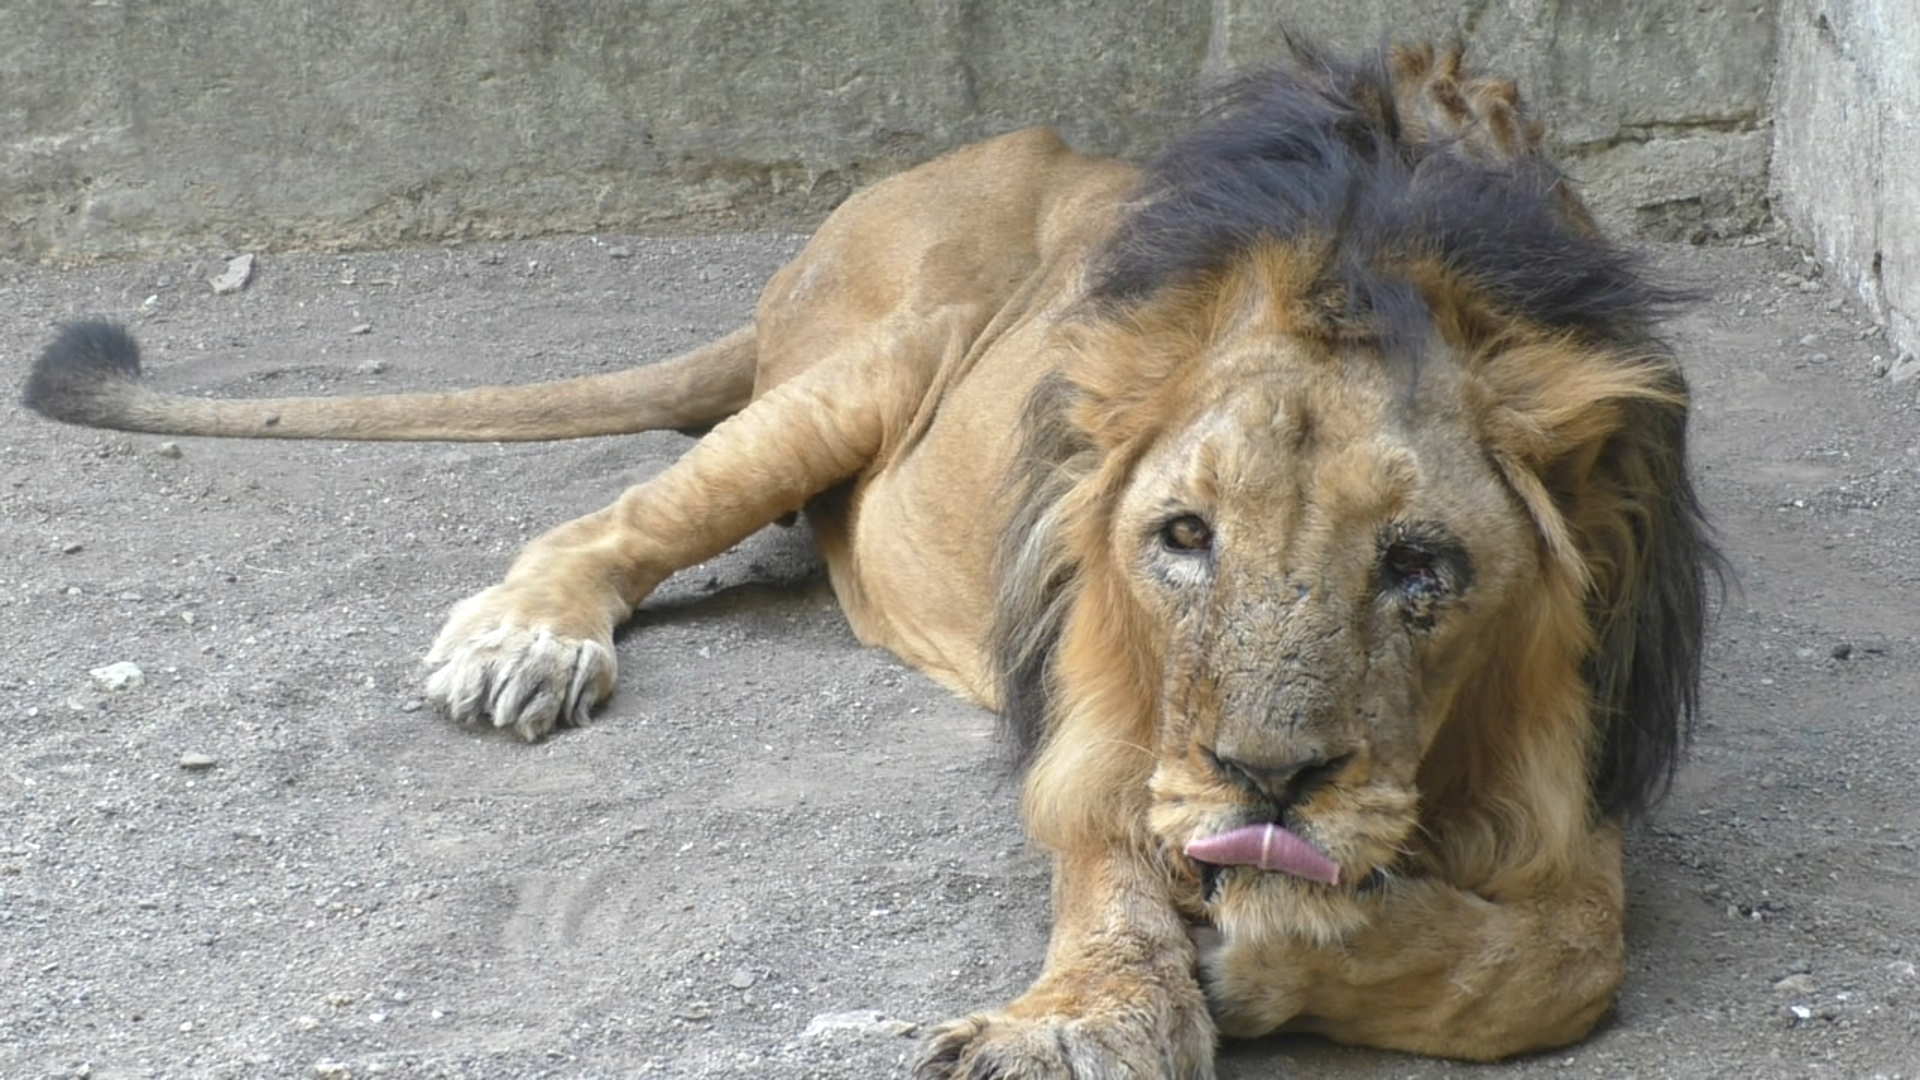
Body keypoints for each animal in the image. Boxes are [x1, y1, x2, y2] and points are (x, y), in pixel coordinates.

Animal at [26, 44, 1712, 1076]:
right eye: (1183, 541)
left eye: (1419, 565)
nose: (1266, 785)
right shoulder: (1108, 728)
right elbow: (1115, 889)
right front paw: (1083, 1022)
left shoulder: (1578, 782)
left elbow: (1554, 963)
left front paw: (1277, 936)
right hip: (879, 359)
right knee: (617, 517)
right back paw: (529, 642)